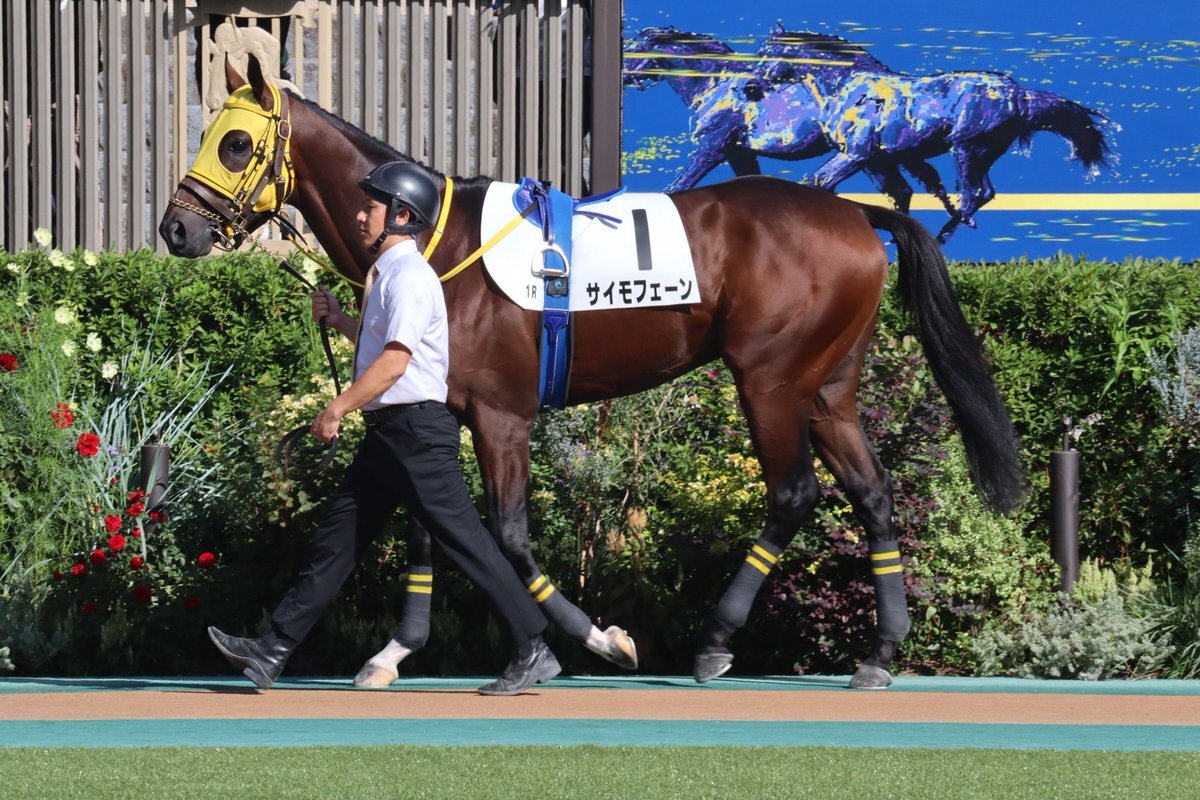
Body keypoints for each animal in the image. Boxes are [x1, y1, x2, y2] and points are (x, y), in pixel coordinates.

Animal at [159, 55, 1025, 688]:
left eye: (234, 143)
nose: (175, 229)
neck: (436, 242)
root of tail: (855, 213)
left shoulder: (501, 415)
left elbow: (503, 534)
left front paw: (581, 643)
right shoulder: (434, 409)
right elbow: (422, 531)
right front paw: (389, 651)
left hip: (771, 381)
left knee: (793, 494)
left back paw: (715, 640)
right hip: (830, 389)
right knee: (872, 494)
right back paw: (879, 654)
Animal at [622, 26, 959, 218]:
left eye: (632, 49)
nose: (625, 77)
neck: (716, 82)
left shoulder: (712, 149)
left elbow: (676, 189)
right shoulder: (739, 153)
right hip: (876, 160)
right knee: (901, 192)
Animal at [754, 27, 1117, 241]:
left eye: (766, 53)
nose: (752, 86)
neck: (849, 87)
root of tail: (1018, 94)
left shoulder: (855, 154)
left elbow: (817, 183)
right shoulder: (878, 161)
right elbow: (902, 193)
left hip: (970, 149)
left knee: (977, 193)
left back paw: (945, 236)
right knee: (976, 195)